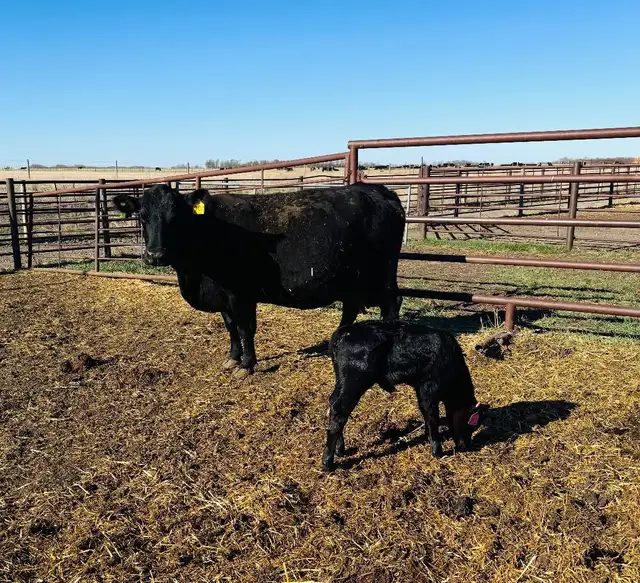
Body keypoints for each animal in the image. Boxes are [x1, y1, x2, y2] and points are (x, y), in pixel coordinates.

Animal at [113, 183, 405, 378]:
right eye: (142, 217)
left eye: (176, 218)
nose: (156, 255)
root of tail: (377, 190)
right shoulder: (222, 295)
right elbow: (230, 327)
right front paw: (232, 359)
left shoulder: (241, 293)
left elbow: (245, 329)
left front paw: (247, 365)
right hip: (350, 278)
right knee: (351, 308)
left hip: (383, 272)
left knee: (392, 301)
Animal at [323, 320, 489, 471]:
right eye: (471, 423)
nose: (465, 446)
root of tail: (346, 331)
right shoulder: (427, 389)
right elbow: (431, 416)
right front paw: (437, 451)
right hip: (354, 382)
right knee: (339, 411)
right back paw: (328, 463)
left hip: (343, 383)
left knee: (333, 404)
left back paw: (340, 450)